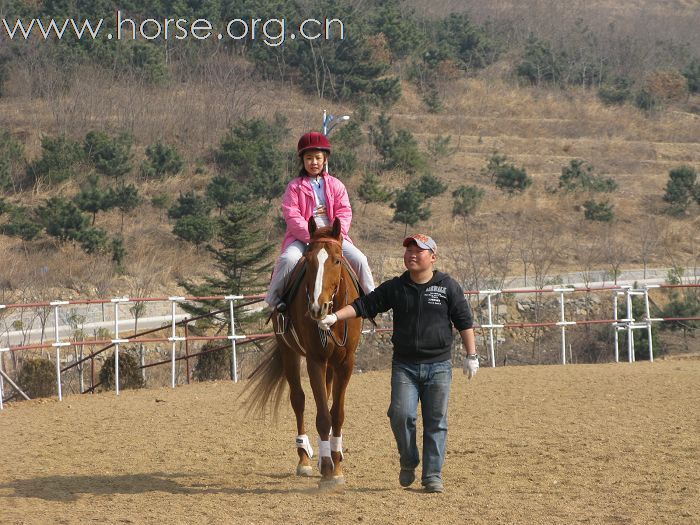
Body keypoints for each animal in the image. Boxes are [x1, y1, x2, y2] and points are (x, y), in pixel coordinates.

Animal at [247, 216, 360, 488]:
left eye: (337, 260)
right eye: (308, 261)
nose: (318, 307)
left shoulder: (346, 362)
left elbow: (336, 414)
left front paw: (336, 465)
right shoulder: (314, 360)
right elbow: (322, 417)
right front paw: (328, 469)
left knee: (326, 399)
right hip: (289, 352)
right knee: (298, 400)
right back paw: (305, 459)